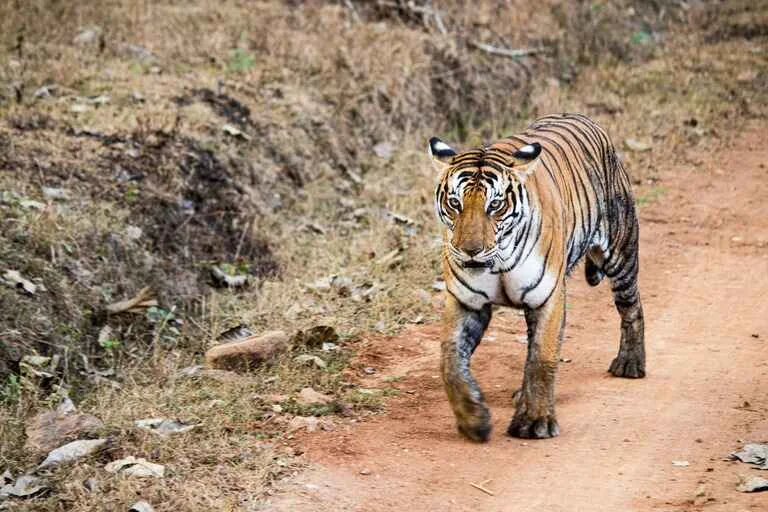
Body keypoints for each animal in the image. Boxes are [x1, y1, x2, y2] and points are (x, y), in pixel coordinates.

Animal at [429, 113, 645, 442]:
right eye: (455, 204)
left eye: (495, 205)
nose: (470, 251)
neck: (498, 262)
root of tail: (582, 116)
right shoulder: (466, 302)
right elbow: (450, 360)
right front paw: (473, 420)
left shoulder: (548, 297)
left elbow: (542, 358)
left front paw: (535, 421)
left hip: (620, 253)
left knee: (632, 307)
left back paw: (630, 363)